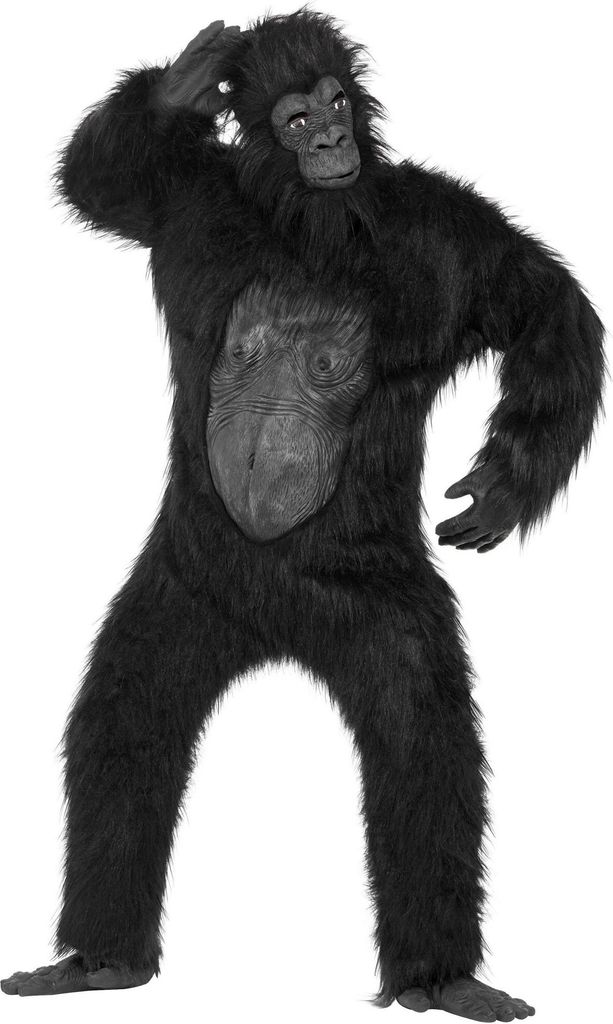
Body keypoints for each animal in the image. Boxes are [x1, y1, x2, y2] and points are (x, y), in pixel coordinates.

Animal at [1, 11, 605, 1020]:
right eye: (291, 116)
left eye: (333, 105)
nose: (327, 141)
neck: (312, 223)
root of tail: (278, 627)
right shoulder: (188, 203)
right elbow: (104, 183)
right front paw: (181, 87)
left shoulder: (455, 237)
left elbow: (541, 309)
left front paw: (503, 487)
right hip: (188, 587)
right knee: (126, 719)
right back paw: (100, 958)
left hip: (375, 603)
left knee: (421, 739)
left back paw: (442, 977)